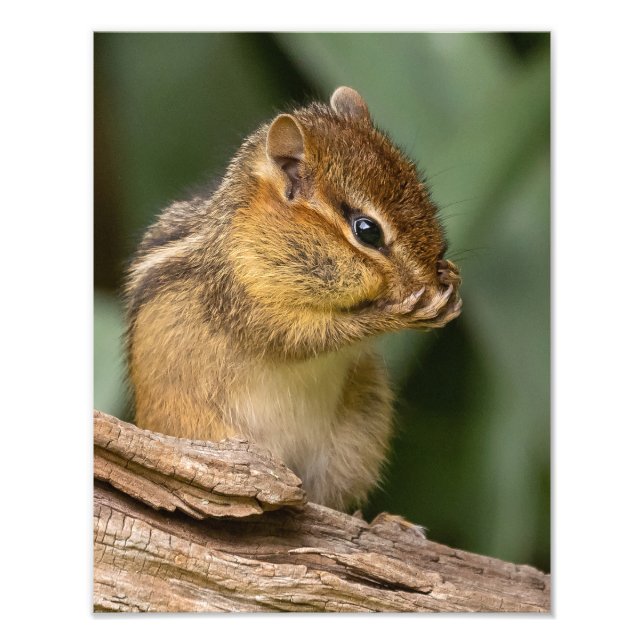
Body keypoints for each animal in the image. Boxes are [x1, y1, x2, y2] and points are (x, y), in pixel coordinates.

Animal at [124, 86, 462, 512]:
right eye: (367, 230)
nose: (430, 278)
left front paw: (450, 278)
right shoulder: (245, 300)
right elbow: (305, 337)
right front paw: (395, 314)